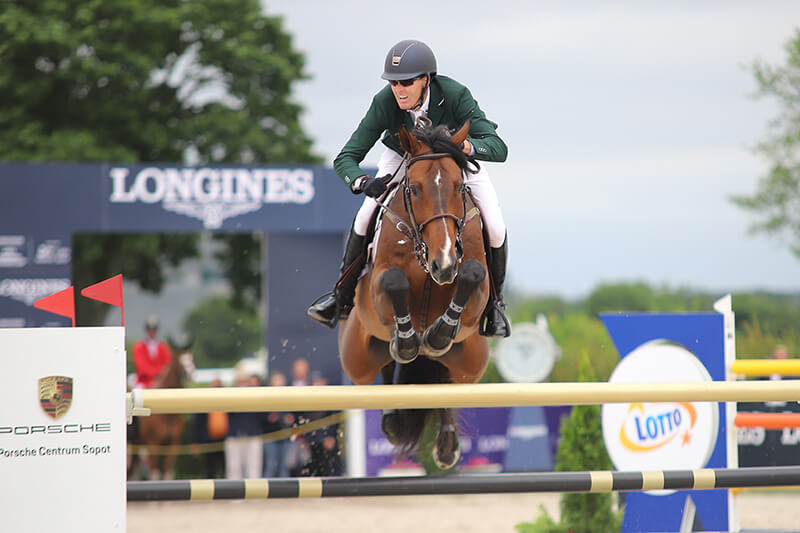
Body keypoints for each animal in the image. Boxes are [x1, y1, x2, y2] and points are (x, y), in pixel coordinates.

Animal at [128, 350, 191, 478]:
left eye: (192, 358)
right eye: (179, 361)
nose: (189, 374)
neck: (169, 416)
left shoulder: (174, 444)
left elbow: (168, 469)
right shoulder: (153, 444)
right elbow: (155, 472)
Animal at [336, 118, 490, 468]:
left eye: (459, 187)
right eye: (415, 188)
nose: (443, 264)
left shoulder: (477, 295)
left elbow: (472, 275)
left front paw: (438, 333)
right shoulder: (377, 287)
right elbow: (395, 282)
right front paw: (408, 341)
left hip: (471, 363)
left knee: (446, 381)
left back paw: (447, 444)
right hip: (357, 358)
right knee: (382, 369)